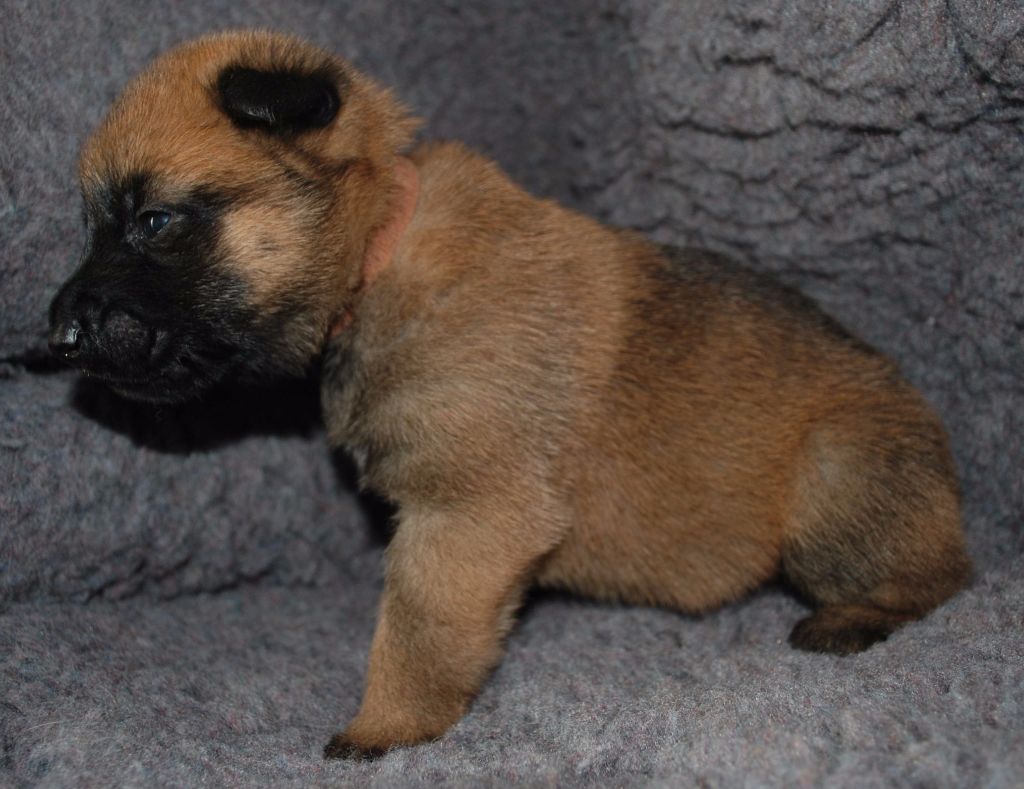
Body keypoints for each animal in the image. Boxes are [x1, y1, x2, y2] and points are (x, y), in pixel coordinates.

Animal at [48, 30, 971, 759]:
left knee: (940, 575)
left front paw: (386, 726)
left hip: (834, 477)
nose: (56, 335)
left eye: (155, 221)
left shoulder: (467, 517)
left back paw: (856, 616)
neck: (379, 252)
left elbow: (417, 631)